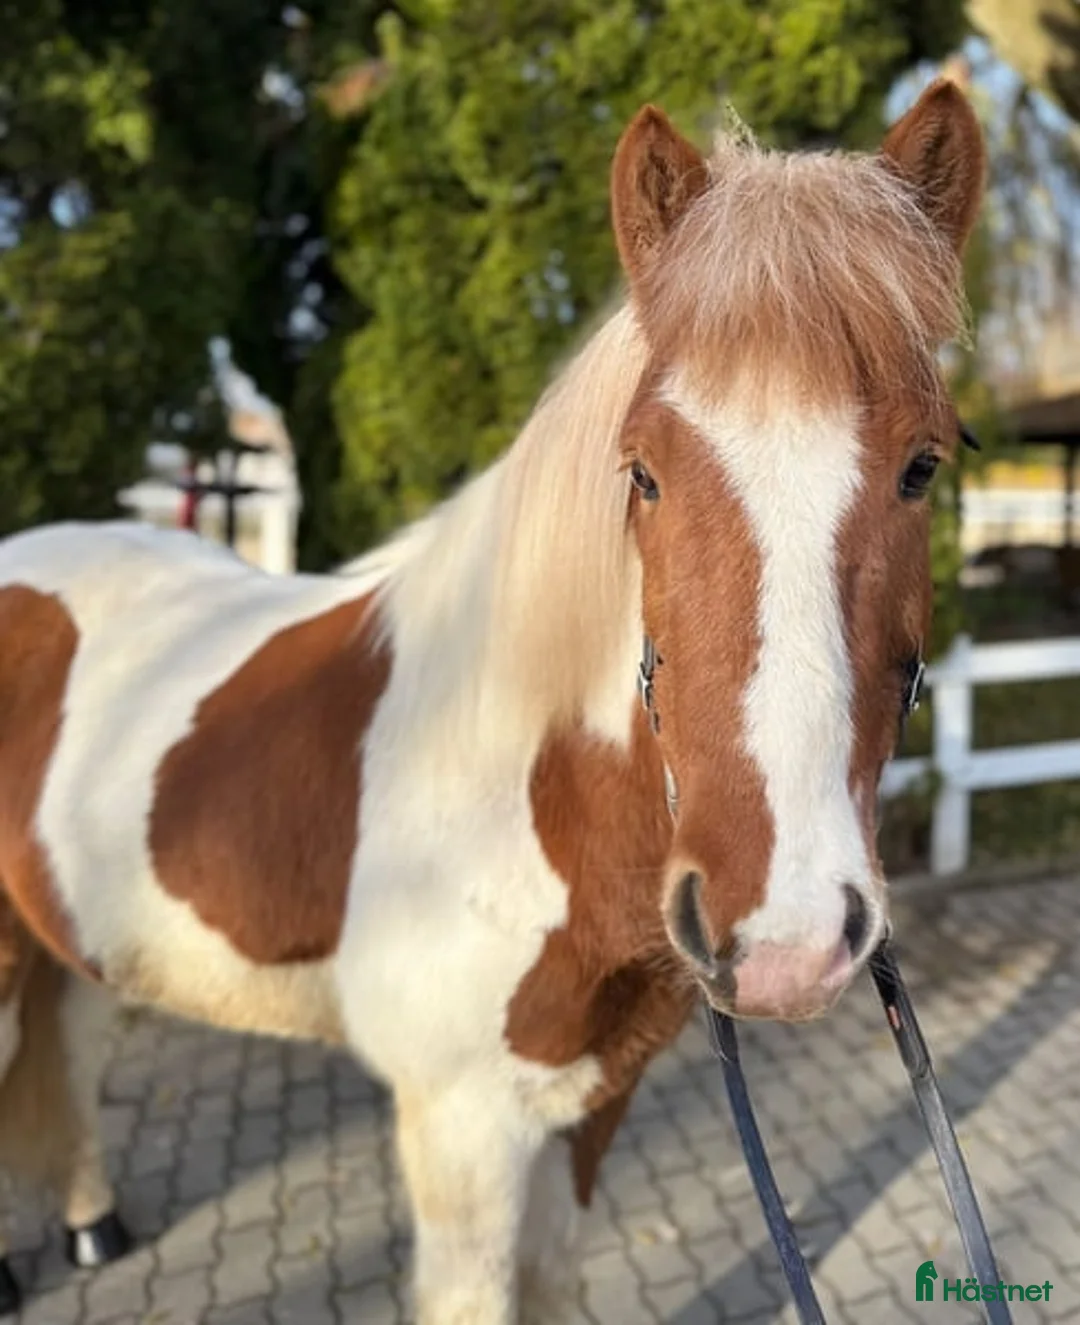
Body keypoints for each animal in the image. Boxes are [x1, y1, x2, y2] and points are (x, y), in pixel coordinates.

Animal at [0, 78, 984, 1324]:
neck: (523, 788)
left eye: (924, 465)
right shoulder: (460, 1134)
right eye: (642, 470)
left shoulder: (591, 1099)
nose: (785, 933)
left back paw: (92, 1223)